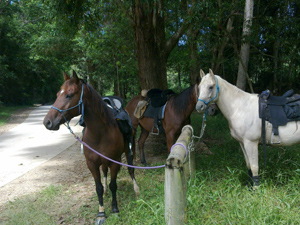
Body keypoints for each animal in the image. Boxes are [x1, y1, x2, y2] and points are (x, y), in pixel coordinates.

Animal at [42, 71, 139, 225]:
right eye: (57, 94)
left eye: (69, 95)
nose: (48, 122)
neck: (100, 132)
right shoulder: (92, 164)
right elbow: (98, 187)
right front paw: (101, 213)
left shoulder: (115, 161)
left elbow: (113, 185)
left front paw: (115, 210)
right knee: (104, 172)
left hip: (129, 150)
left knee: (131, 168)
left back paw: (136, 189)